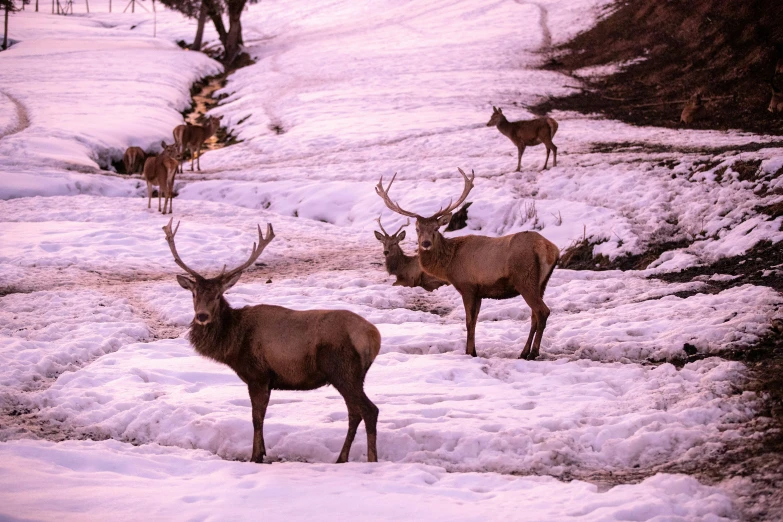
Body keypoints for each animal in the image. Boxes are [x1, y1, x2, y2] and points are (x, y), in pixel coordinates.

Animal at [165, 217, 382, 462]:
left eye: (219, 295)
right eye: (194, 294)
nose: (202, 316)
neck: (233, 344)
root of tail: (374, 337)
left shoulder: (257, 374)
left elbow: (256, 417)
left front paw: (255, 456)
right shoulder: (267, 379)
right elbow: (260, 415)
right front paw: (261, 452)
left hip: (343, 369)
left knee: (369, 410)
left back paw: (371, 459)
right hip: (354, 375)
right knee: (354, 412)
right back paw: (341, 458)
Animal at [376, 169, 560, 360]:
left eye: (436, 228)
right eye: (417, 229)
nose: (425, 243)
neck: (449, 265)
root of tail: (550, 249)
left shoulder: (467, 285)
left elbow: (469, 321)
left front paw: (470, 352)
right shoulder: (479, 291)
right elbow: (475, 320)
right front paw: (473, 350)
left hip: (525, 278)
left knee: (542, 311)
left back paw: (533, 352)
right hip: (541, 283)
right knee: (534, 315)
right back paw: (524, 352)